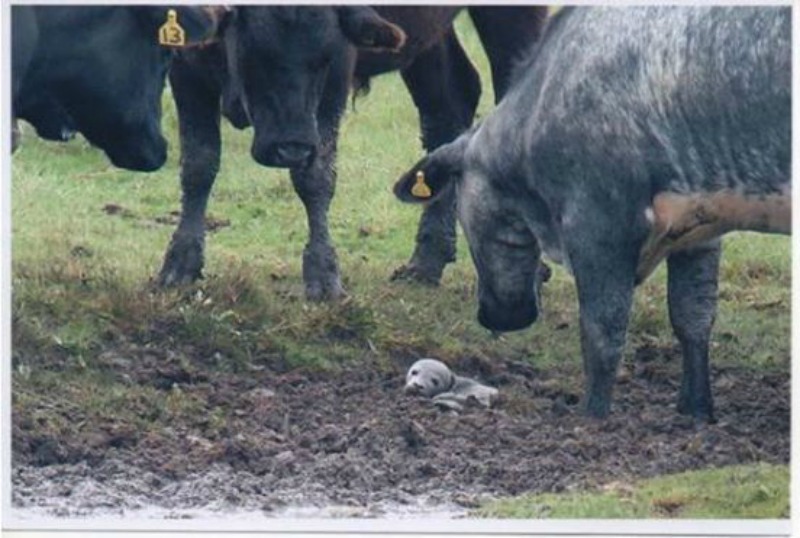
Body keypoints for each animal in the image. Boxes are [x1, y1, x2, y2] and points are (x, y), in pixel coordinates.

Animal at [153, 5, 548, 298]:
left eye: (324, 58)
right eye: (256, 53)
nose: (291, 148)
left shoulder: (338, 77)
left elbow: (316, 178)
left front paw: (323, 275)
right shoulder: (186, 69)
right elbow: (199, 166)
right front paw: (179, 265)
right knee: (449, 105)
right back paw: (425, 262)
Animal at [390, 6, 792, 420]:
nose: (495, 316)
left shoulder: (598, 223)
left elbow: (602, 330)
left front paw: (593, 416)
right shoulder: (699, 221)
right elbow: (693, 315)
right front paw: (694, 409)